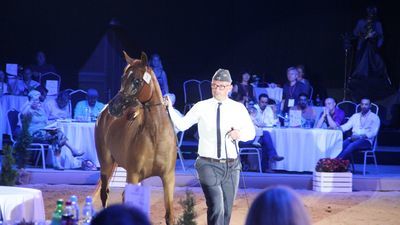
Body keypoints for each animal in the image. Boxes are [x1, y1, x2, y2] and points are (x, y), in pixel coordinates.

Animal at [94, 52, 176, 223]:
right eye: (122, 78)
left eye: (137, 80)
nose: (114, 107)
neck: (156, 135)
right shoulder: (133, 175)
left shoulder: (168, 177)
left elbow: (169, 215)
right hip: (106, 165)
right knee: (105, 194)